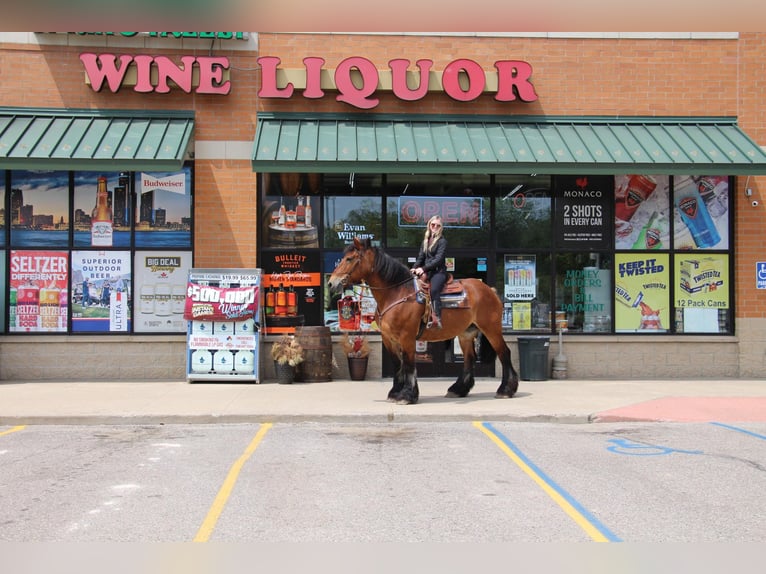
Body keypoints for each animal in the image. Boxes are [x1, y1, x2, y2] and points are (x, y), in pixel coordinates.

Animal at [328, 237, 520, 404]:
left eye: (349, 259)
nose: (331, 283)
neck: (397, 292)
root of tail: (489, 290)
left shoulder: (407, 337)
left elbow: (409, 364)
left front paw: (407, 395)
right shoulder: (388, 338)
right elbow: (398, 364)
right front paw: (395, 392)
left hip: (491, 329)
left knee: (504, 353)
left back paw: (506, 390)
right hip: (466, 333)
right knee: (469, 358)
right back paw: (458, 389)